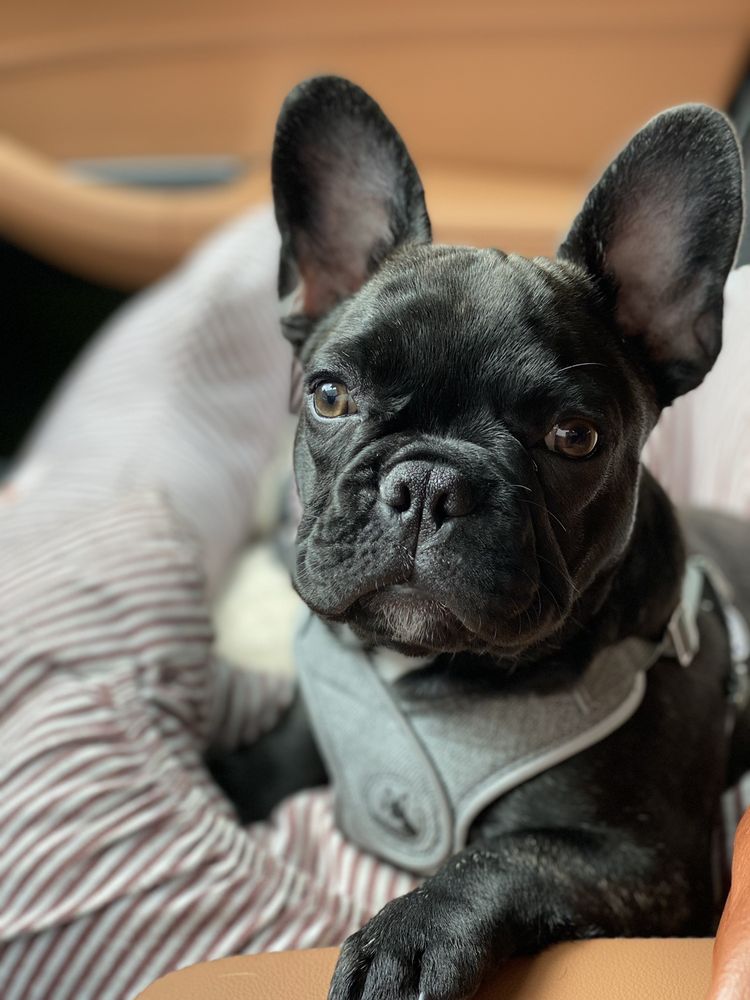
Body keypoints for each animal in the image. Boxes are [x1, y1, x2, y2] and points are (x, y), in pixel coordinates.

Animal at [213, 76, 749, 999]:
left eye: (575, 437)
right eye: (329, 395)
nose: (428, 484)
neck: (426, 673)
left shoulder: (648, 868)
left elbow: (506, 856)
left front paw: (407, 939)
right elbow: (273, 756)